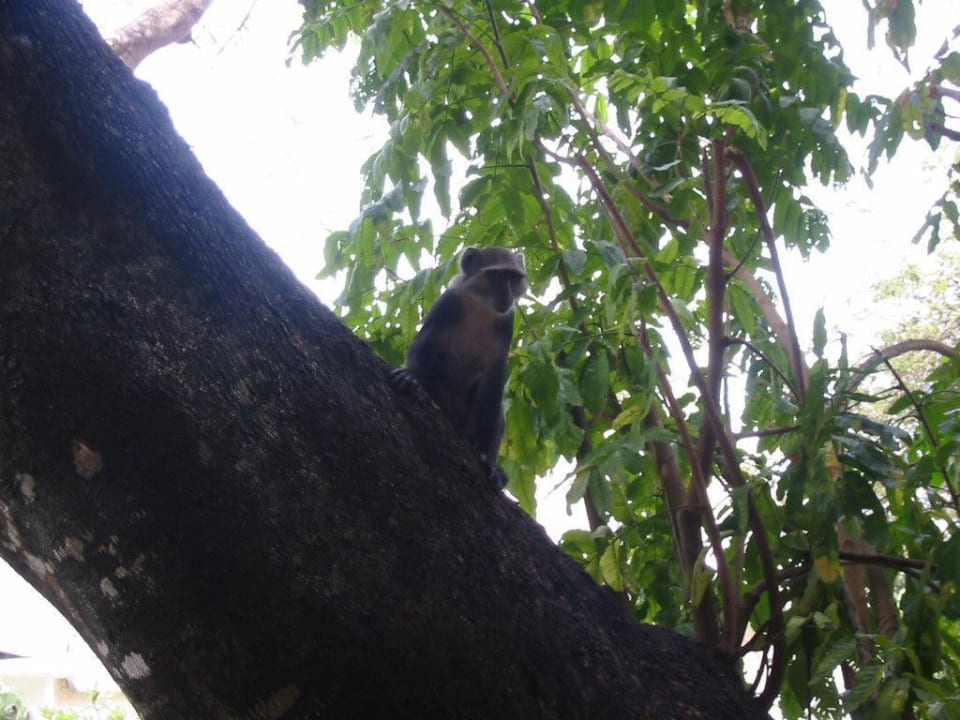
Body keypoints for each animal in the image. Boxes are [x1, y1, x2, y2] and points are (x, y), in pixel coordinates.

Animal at [390, 246, 527, 488]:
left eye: (513, 278)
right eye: (497, 276)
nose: (507, 296)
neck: (481, 305)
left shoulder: (506, 323)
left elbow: (494, 380)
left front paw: (490, 461)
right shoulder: (449, 303)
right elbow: (425, 341)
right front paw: (411, 376)